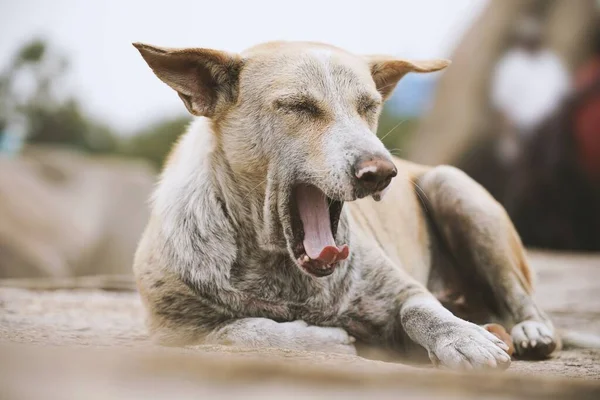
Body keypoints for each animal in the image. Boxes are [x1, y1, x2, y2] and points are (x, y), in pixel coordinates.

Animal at [130, 40, 556, 368]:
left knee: (517, 293)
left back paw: (531, 330)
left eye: (368, 106)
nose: (381, 172)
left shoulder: (405, 291)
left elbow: (423, 310)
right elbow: (242, 330)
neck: (279, 265)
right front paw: (324, 339)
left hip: (452, 185)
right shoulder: (173, 332)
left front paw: (463, 338)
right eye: (299, 107)